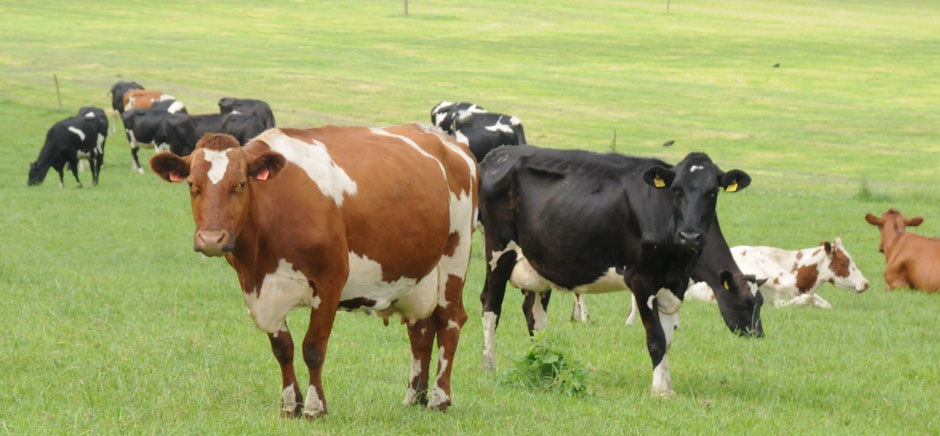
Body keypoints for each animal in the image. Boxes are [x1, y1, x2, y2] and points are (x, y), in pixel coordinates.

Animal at [149, 125, 478, 418]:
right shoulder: (260, 289)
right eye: (192, 185)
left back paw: (439, 399)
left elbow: (313, 348)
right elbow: (283, 348)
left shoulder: (330, 281)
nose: (211, 239)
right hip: (419, 275)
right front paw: (288, 405)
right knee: (421, 330)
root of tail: (452, 145)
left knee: (449, 321)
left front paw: (314, 407)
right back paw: (414, 398)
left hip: (455, 256)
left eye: (240, 184)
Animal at [478, 145, 758, 397]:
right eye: (676, 191)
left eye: (711, 193)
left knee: (534, 315)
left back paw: (542, 360)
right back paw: (489, 367)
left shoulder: (671, 285)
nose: (690, 235)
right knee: (490, 306)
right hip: (498, 250)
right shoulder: (641, 280)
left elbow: (668, 340)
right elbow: (656, 339)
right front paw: (659, 391)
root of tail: (499, 152)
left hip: (537, 265)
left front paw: (667, 385)